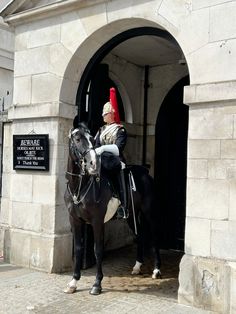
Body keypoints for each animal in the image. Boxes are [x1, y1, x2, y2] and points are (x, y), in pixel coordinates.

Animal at [63, 122, 161, 294]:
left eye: (91, 140)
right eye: (77, 139)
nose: (93, 164)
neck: (79, 187)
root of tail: (145, 172)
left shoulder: (97, 221)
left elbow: (98, 250)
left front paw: (97, 284)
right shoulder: (74, 220)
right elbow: (78, 248)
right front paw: (73, 282)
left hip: (149, 212)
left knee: (154, 236)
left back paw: (156, 270)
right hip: (130, 215)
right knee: (140, 235)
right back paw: (137, 266)